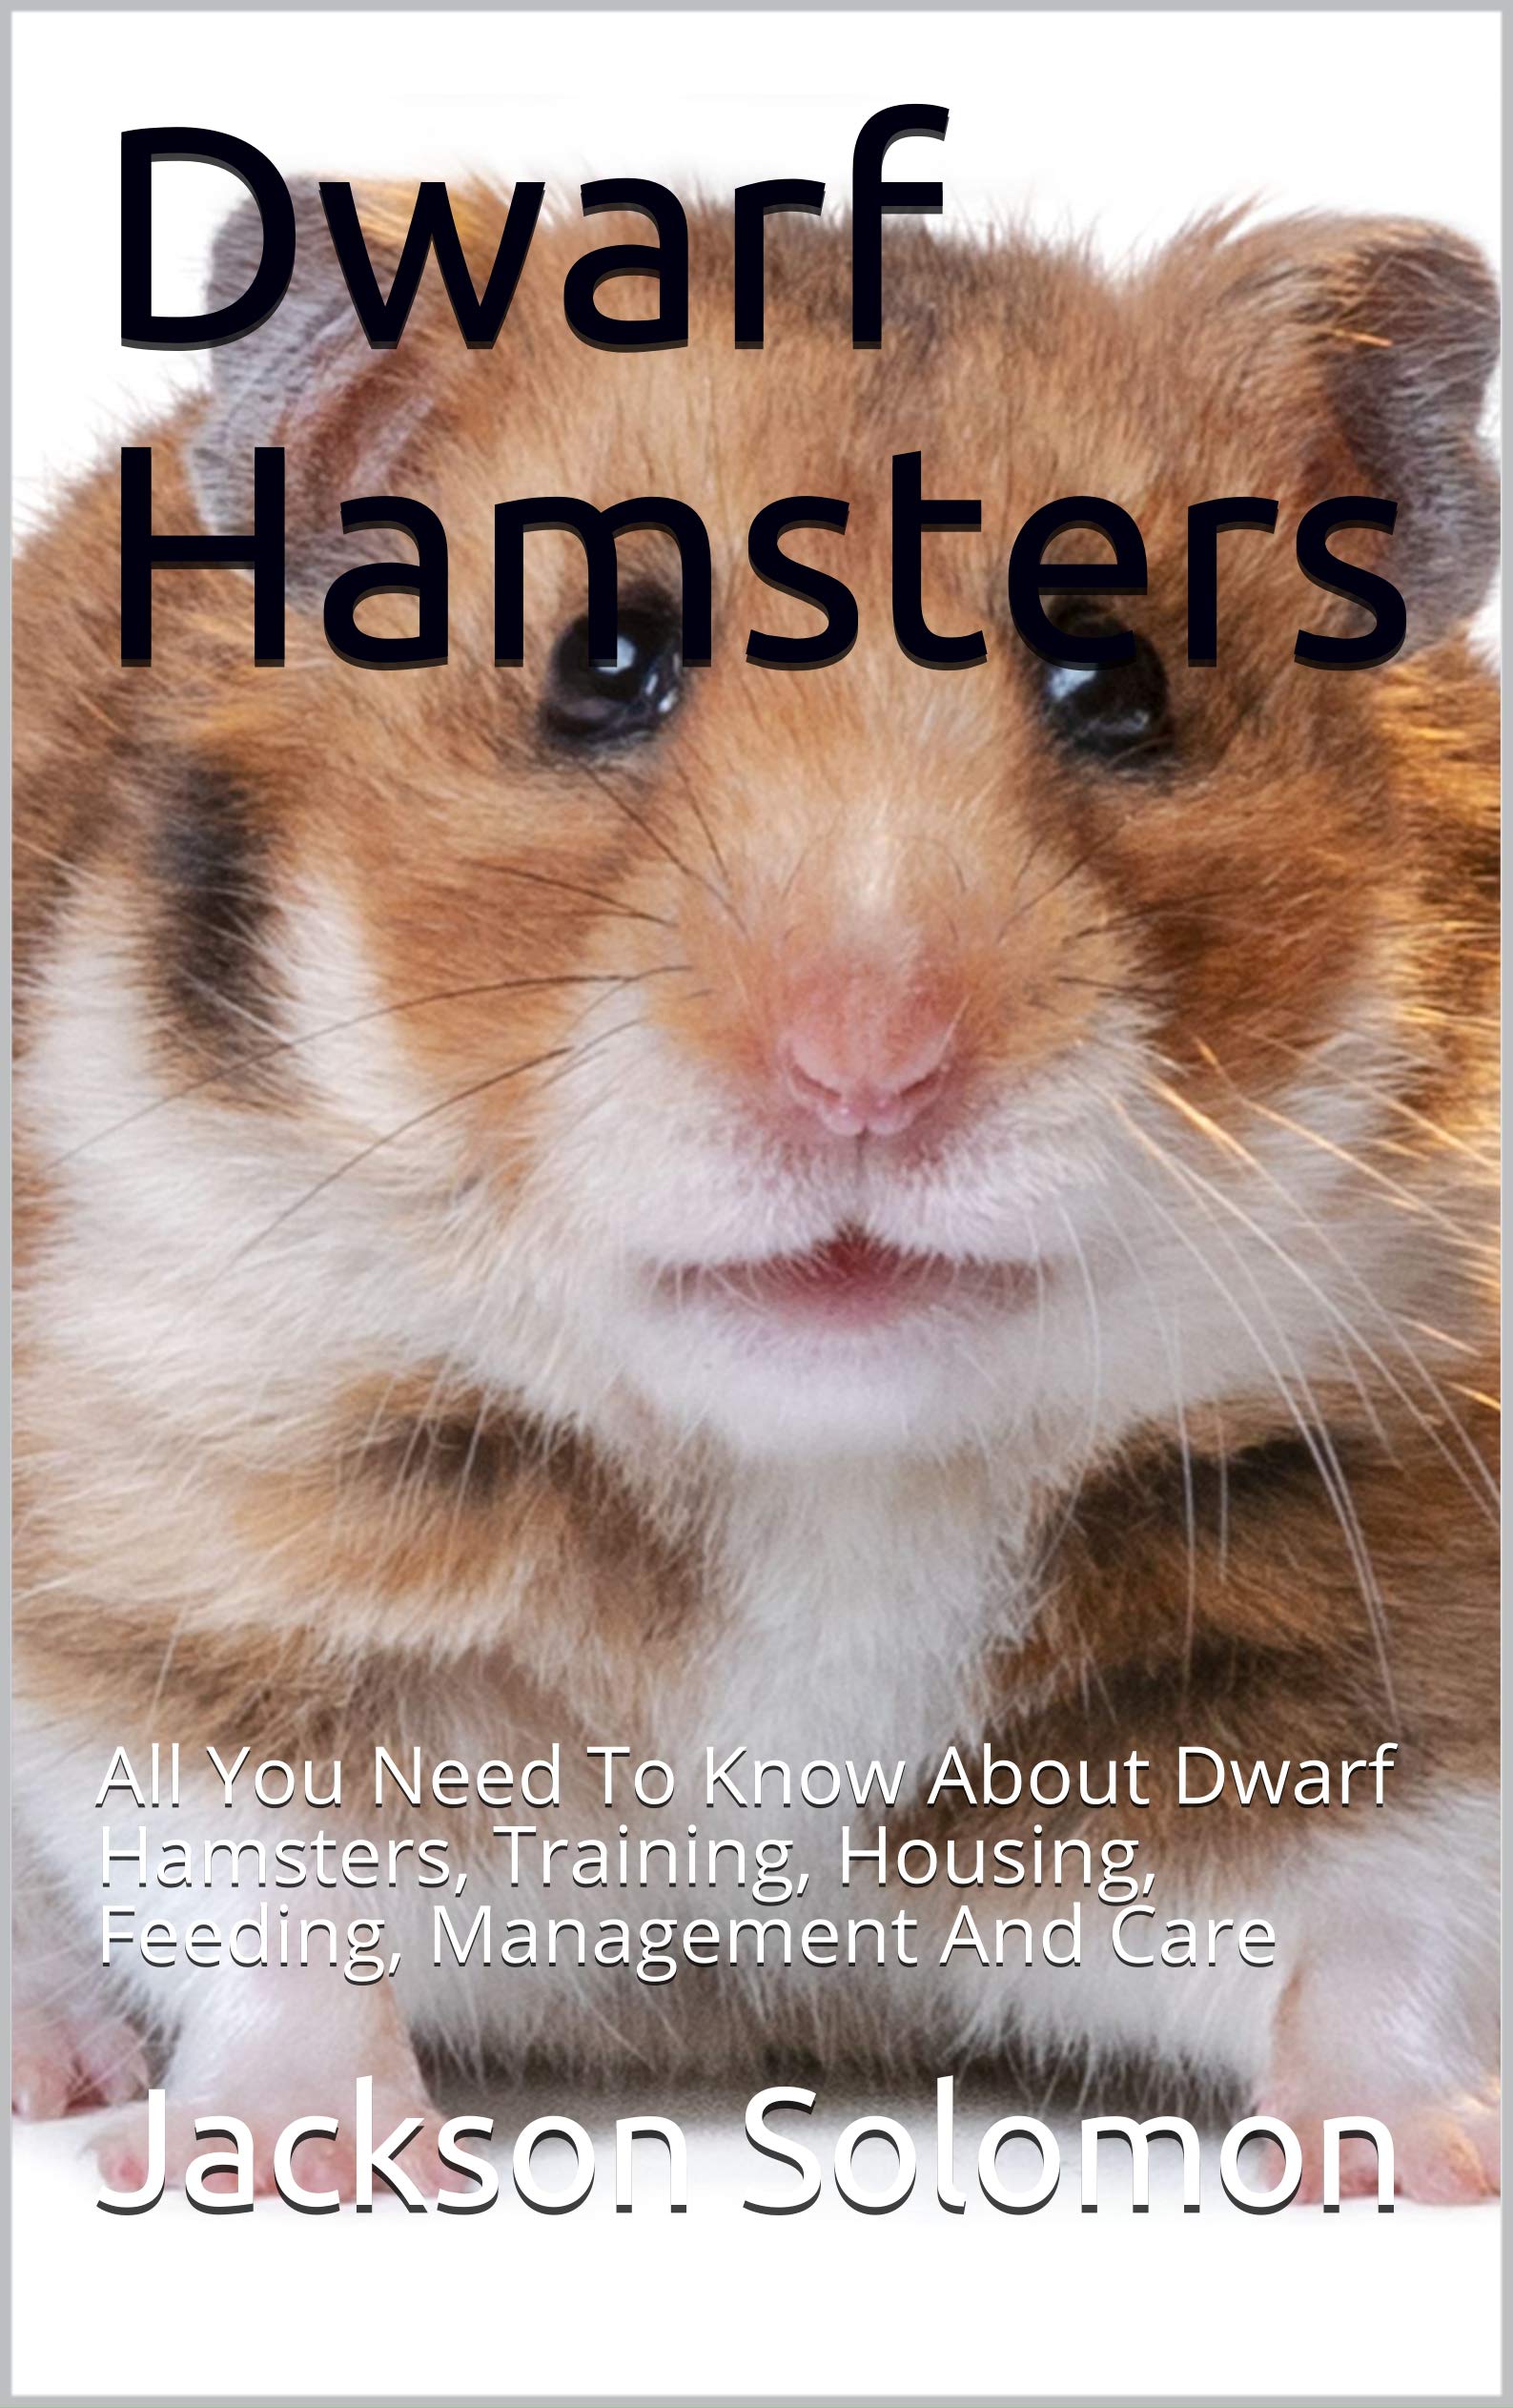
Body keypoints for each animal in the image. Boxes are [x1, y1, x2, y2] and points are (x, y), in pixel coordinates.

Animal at [14, 186, 1499, 2203]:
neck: (818, 1471)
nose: (867, 1071)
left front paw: (1443, 2162)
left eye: (1117, 685)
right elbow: (268, 1915)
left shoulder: (1395, 1601)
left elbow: (1376, 1937)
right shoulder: (185, 1542)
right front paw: (290, 2163)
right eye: (602, 662)